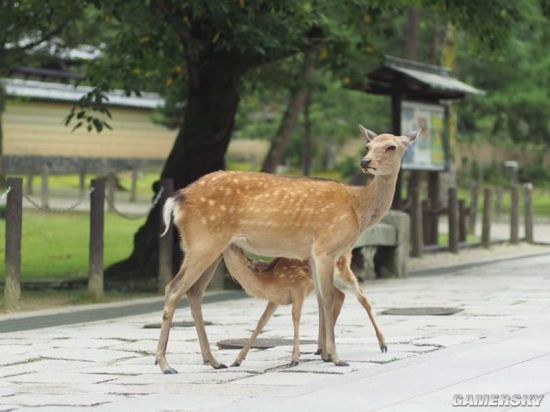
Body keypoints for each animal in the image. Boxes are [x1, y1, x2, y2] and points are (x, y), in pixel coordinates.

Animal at [157, 125, 420, 374]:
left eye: (391, 146)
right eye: (368, 145)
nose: (365, 162)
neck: (357, 208)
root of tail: (177, 199)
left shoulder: (314, 254)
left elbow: (322, 299)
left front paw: (324, 354)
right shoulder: (325, 248)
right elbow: (327, 299)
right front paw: (335, 357)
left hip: (210, 247)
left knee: (194, 293)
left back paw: (213, 361)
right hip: (204, 241)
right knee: (173, 288)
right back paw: (165, 364)